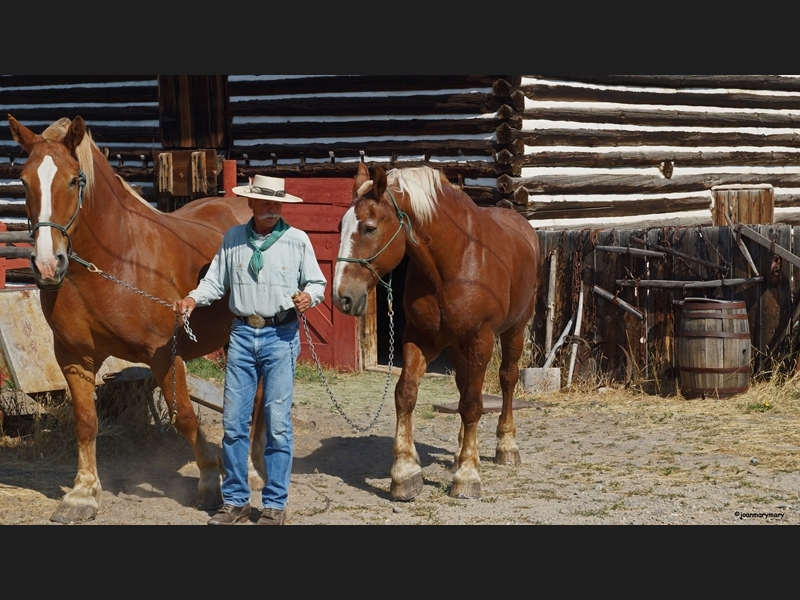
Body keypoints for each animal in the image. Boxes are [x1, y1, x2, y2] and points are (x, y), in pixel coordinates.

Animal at [7, 115, 268, 524]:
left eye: (74, 180)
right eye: (23, 181)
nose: (48, 265)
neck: (114, 262)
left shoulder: (164, 357)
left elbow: (184, 418)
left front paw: (210, 479)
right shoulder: (74, 359)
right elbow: (86, 422)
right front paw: (82, 494)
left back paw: (254, 471)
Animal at [332, 164, 544, 502]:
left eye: (368, 228)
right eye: (341, 226)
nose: (343, 296)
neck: (454, 262)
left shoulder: (480, 340)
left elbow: (473, 404)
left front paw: (468, 475)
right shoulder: (419, 338)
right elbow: (406, 394)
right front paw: (405, 472)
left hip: (514, 330)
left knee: (507, 379)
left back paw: (506, 446)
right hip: (457, 347)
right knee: (463, 385)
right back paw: (459, 452)